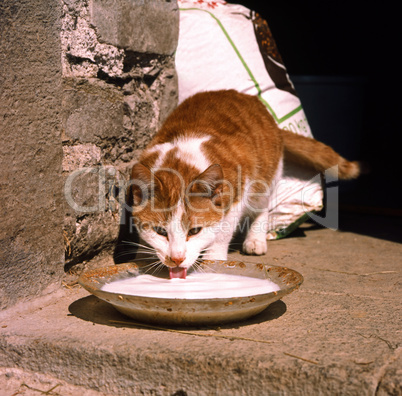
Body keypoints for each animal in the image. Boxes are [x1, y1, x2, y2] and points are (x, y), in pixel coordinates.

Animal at [127, 89, 360, 278]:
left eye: (195, 231)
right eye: (160, 231)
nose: (176, 258)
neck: (181, 161)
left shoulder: (237, 195)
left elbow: (222, 232)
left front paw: (214, 260)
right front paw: (143, 255)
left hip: (266, 177)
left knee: (262, 206)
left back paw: (256, 239)